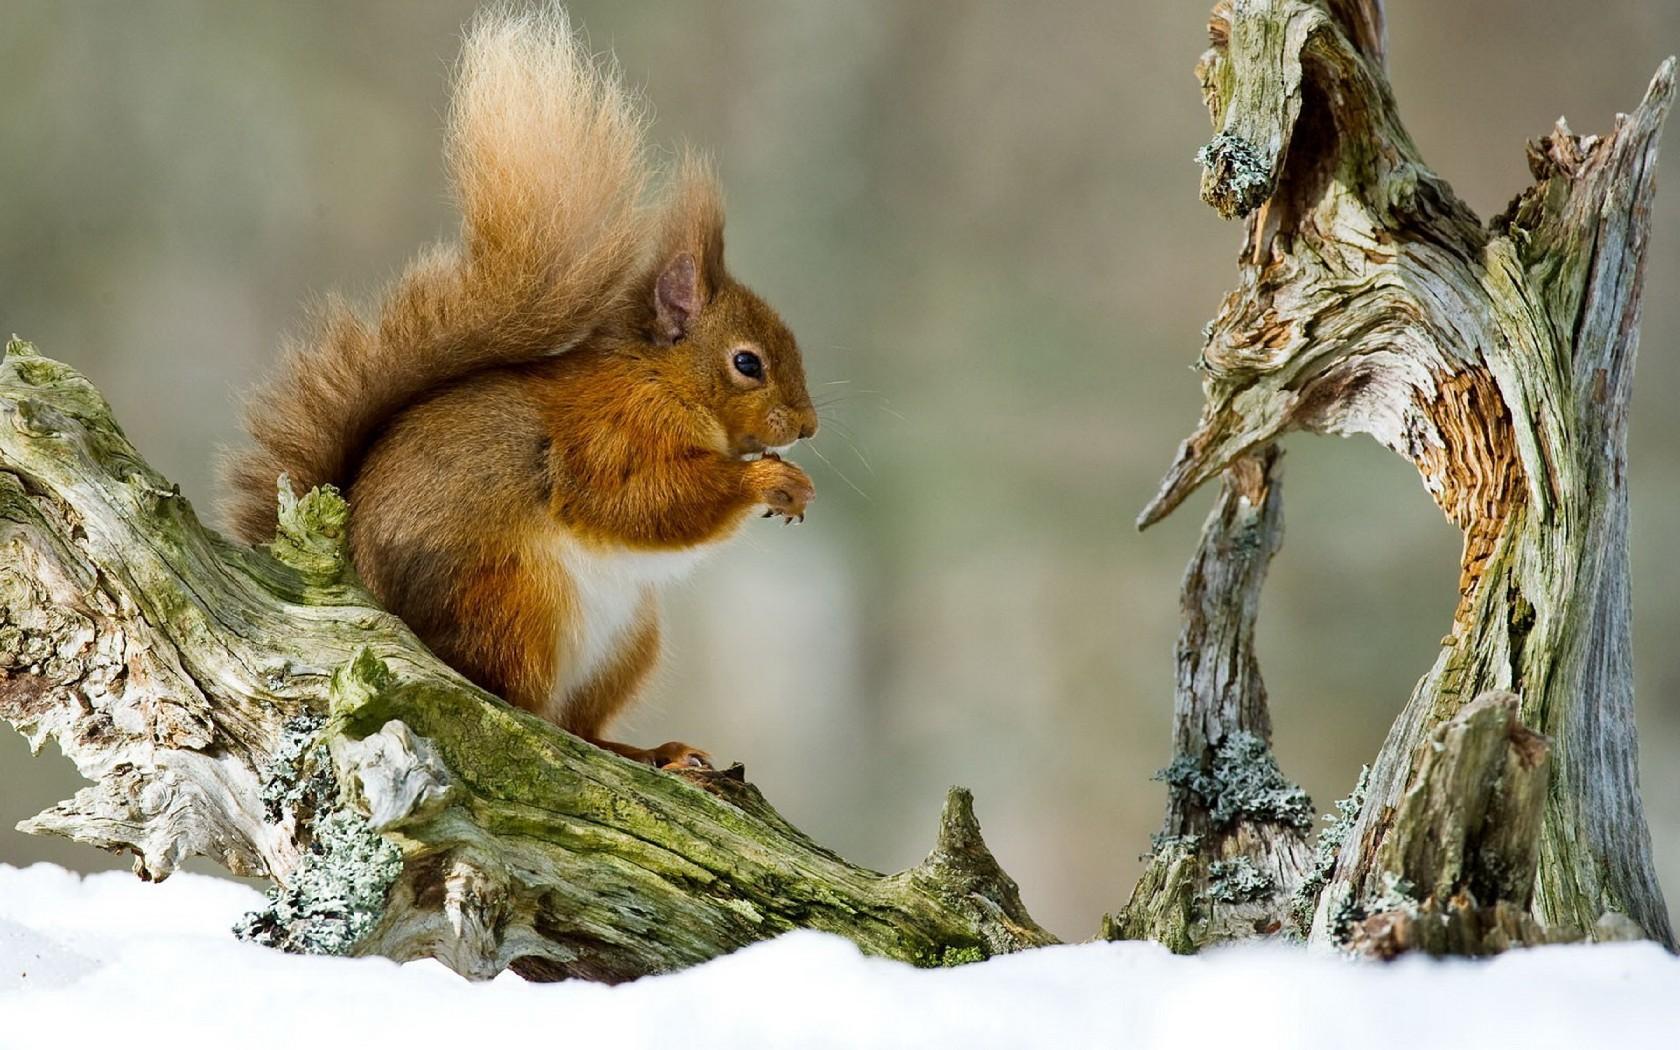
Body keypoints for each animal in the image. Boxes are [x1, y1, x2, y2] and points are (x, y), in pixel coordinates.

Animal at [216, 4, 819, 766]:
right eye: (748, 363)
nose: (807, 428)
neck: (660, 378)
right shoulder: (606, 434)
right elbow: (642, 501)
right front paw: (770, 481)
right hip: (516, 602)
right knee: (520, 705)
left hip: (627, 639)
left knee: (576, 724)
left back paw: (652, 754)